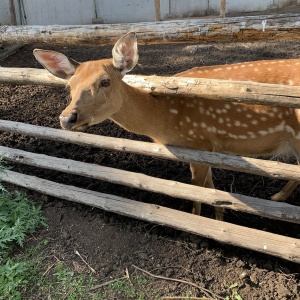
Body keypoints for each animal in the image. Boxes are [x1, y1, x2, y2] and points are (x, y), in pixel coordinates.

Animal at [32, 32, 300, 220]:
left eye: (105, 81)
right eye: (70, 85)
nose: (67, 118)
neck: (163, 123)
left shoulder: (198, 142)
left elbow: (197, 187)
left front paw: (197, 221)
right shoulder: (208, 148)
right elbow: (210, 186)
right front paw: (219, 216)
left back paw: (277, 197)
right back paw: (277, 197)